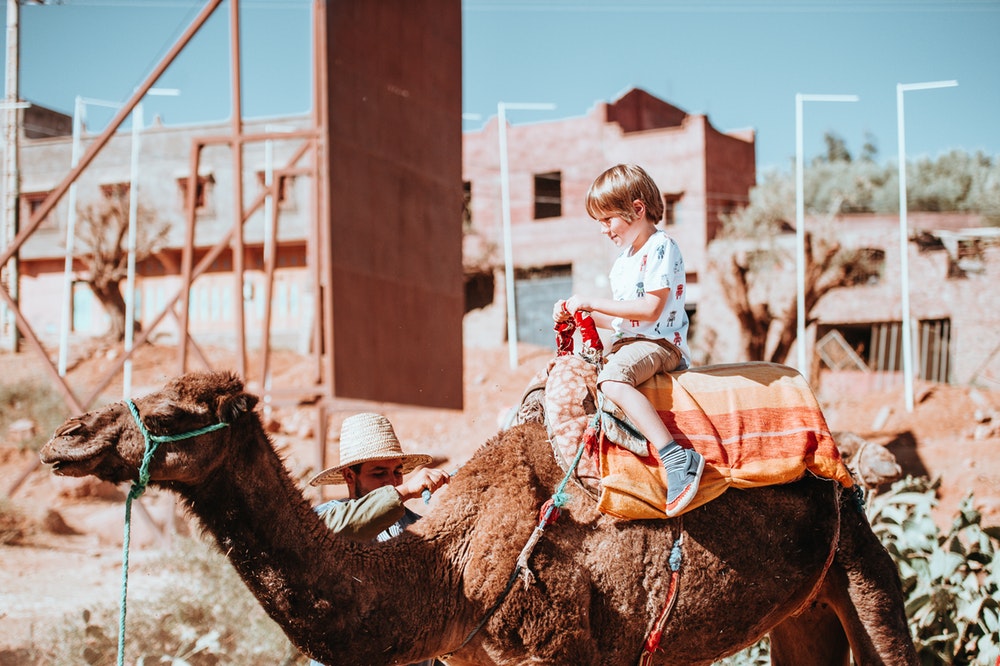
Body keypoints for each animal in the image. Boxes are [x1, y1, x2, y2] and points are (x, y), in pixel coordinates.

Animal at [41, 370, 920, 660]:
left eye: (176, 408)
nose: (64, 438)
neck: (455, 578)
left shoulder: (563, 653)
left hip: (864, 571)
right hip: (801, 612)